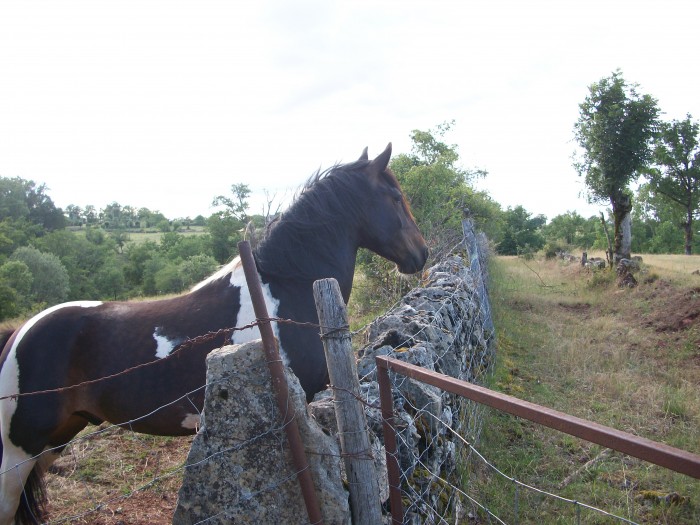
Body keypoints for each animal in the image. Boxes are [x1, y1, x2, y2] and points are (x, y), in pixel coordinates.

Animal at [0, 143, 428, 524]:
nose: (421, 253)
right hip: (18, 452)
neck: (283, 287)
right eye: (395, 197)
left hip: (55, 440)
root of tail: (18, 334)